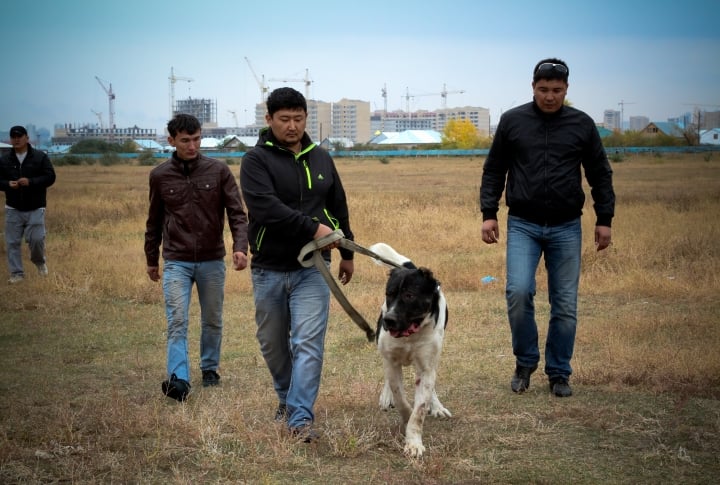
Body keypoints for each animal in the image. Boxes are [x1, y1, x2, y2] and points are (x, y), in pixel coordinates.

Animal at [372, 242, 450, 458]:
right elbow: (400, 398)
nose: (388, 320)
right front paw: (405, 417)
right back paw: (386, 397)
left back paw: (437, 406)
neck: (410, 333)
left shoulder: (426, 366)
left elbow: (420, 409)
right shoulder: (391, 361)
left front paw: (413, 442)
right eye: (389, 294)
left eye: (409, 295)